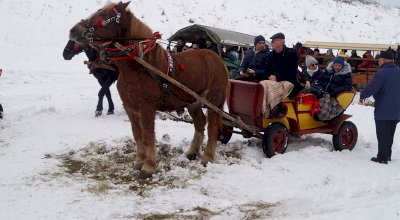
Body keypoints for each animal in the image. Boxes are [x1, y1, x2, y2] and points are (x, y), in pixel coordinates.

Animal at [69, 1, 228, 179]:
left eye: (103, 15)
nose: (74, 30)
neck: (140, 67)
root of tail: (216, 58)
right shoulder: (130, 107)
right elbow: (137, 134)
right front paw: (139, 161)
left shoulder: (146, 107)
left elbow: (148, 135)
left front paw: (148, 166)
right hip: (192, 102)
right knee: (200, 123)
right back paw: (192, 152)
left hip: (214, 101)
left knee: (213, 126)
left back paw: (207, 157)